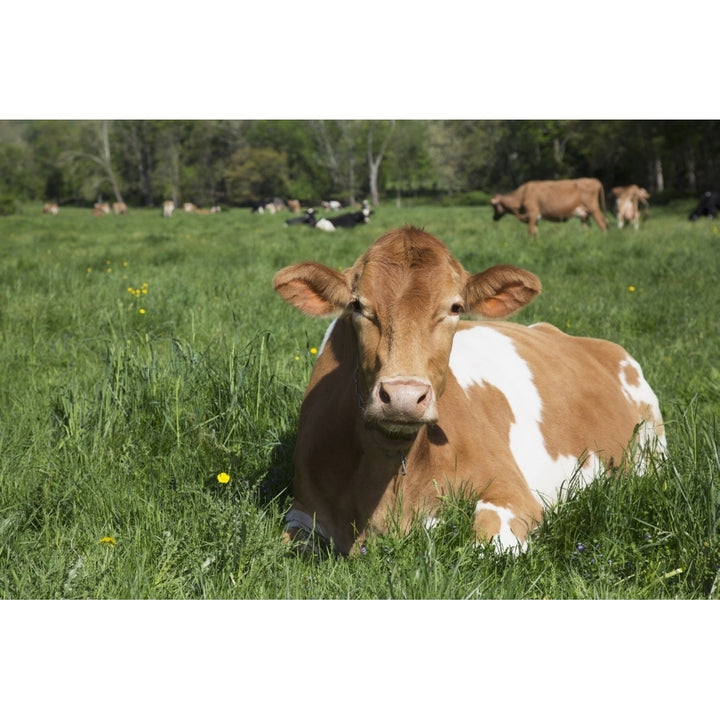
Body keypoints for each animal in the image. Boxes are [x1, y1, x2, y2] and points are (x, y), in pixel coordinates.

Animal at [272, 228, 668, 556]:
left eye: (455, 307)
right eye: (357, 305)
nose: (403, 396)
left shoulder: (514, 493)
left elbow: (486, 543)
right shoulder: (302, 510)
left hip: (652, 452)